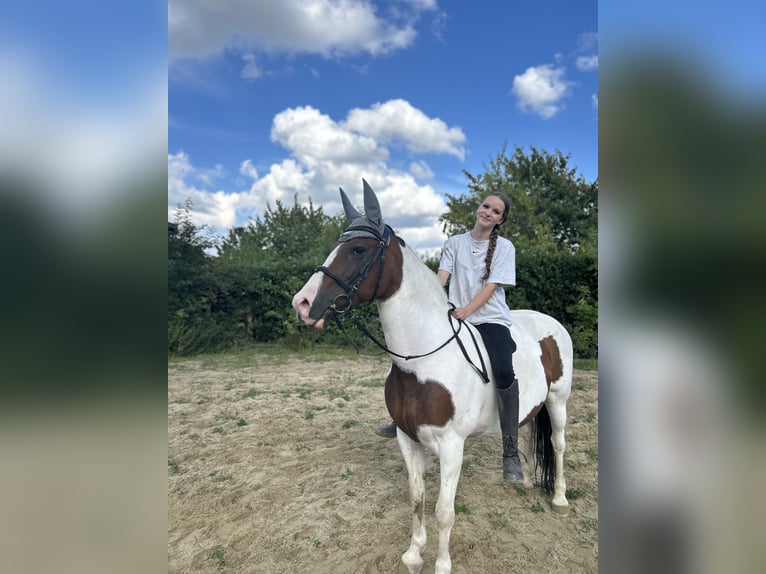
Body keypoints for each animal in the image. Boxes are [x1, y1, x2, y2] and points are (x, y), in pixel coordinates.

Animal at [292, 180, 573, 574]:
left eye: (358, 249)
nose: (302, 304)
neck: (423, 364)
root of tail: (551, 323)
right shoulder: (408, 440)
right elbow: (417, 497)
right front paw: (413, 555)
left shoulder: (452, 447)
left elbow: (444, 510)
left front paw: (441, 564)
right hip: (536, 405)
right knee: (529, 430)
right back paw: (526, 479)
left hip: (558, 400)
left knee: (558, 444)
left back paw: (559, 498)